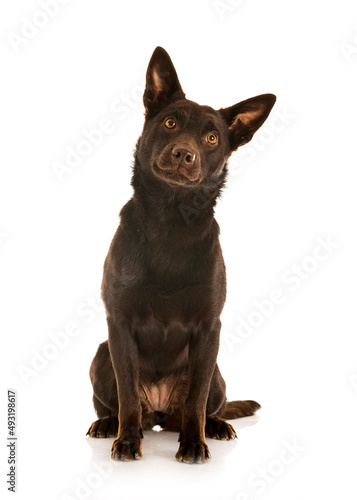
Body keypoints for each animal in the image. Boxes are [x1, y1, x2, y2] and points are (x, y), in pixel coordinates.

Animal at [87, 47, 276, 464]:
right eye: (171, 123)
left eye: (211, 137)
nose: (184, 154)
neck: (171, 222)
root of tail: (159, 411)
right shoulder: (118, 324)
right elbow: (127, 395)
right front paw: (127, 440)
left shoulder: (209, 329)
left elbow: (196, 400)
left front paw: (194, 442)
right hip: (101, 356)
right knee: (117, 404)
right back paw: (109, 424)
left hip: (217, 371)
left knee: (207, 403)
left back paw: (216, 426)